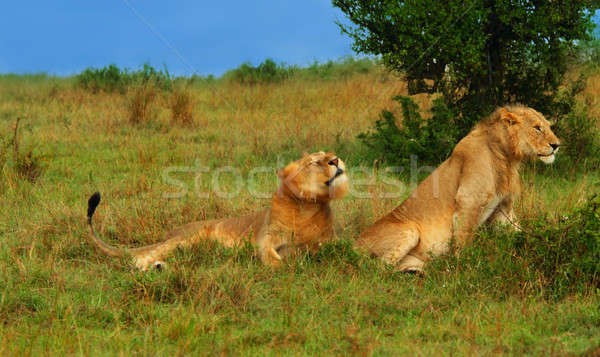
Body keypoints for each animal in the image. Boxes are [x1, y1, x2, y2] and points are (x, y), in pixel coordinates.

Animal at [84, 151, 346, 270]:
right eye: (314, 162)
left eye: (328, 154)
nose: (335, 160)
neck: (307, 206)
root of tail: (170, 233)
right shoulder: (265, 238)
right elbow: (270, 254)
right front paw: (283, 266)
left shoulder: (328, 240)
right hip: (188, 237)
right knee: (143, 257)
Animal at [354, 104, 560, 272]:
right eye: (537, 128)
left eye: (548, 126)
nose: (556, 145)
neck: (506, 157)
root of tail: (353, 243)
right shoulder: (468, 201)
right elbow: (464, 240)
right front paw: (466, 268)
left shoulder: (502, 209)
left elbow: (518, 232)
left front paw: (543, 243)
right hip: (409, 231)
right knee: (375, 269)